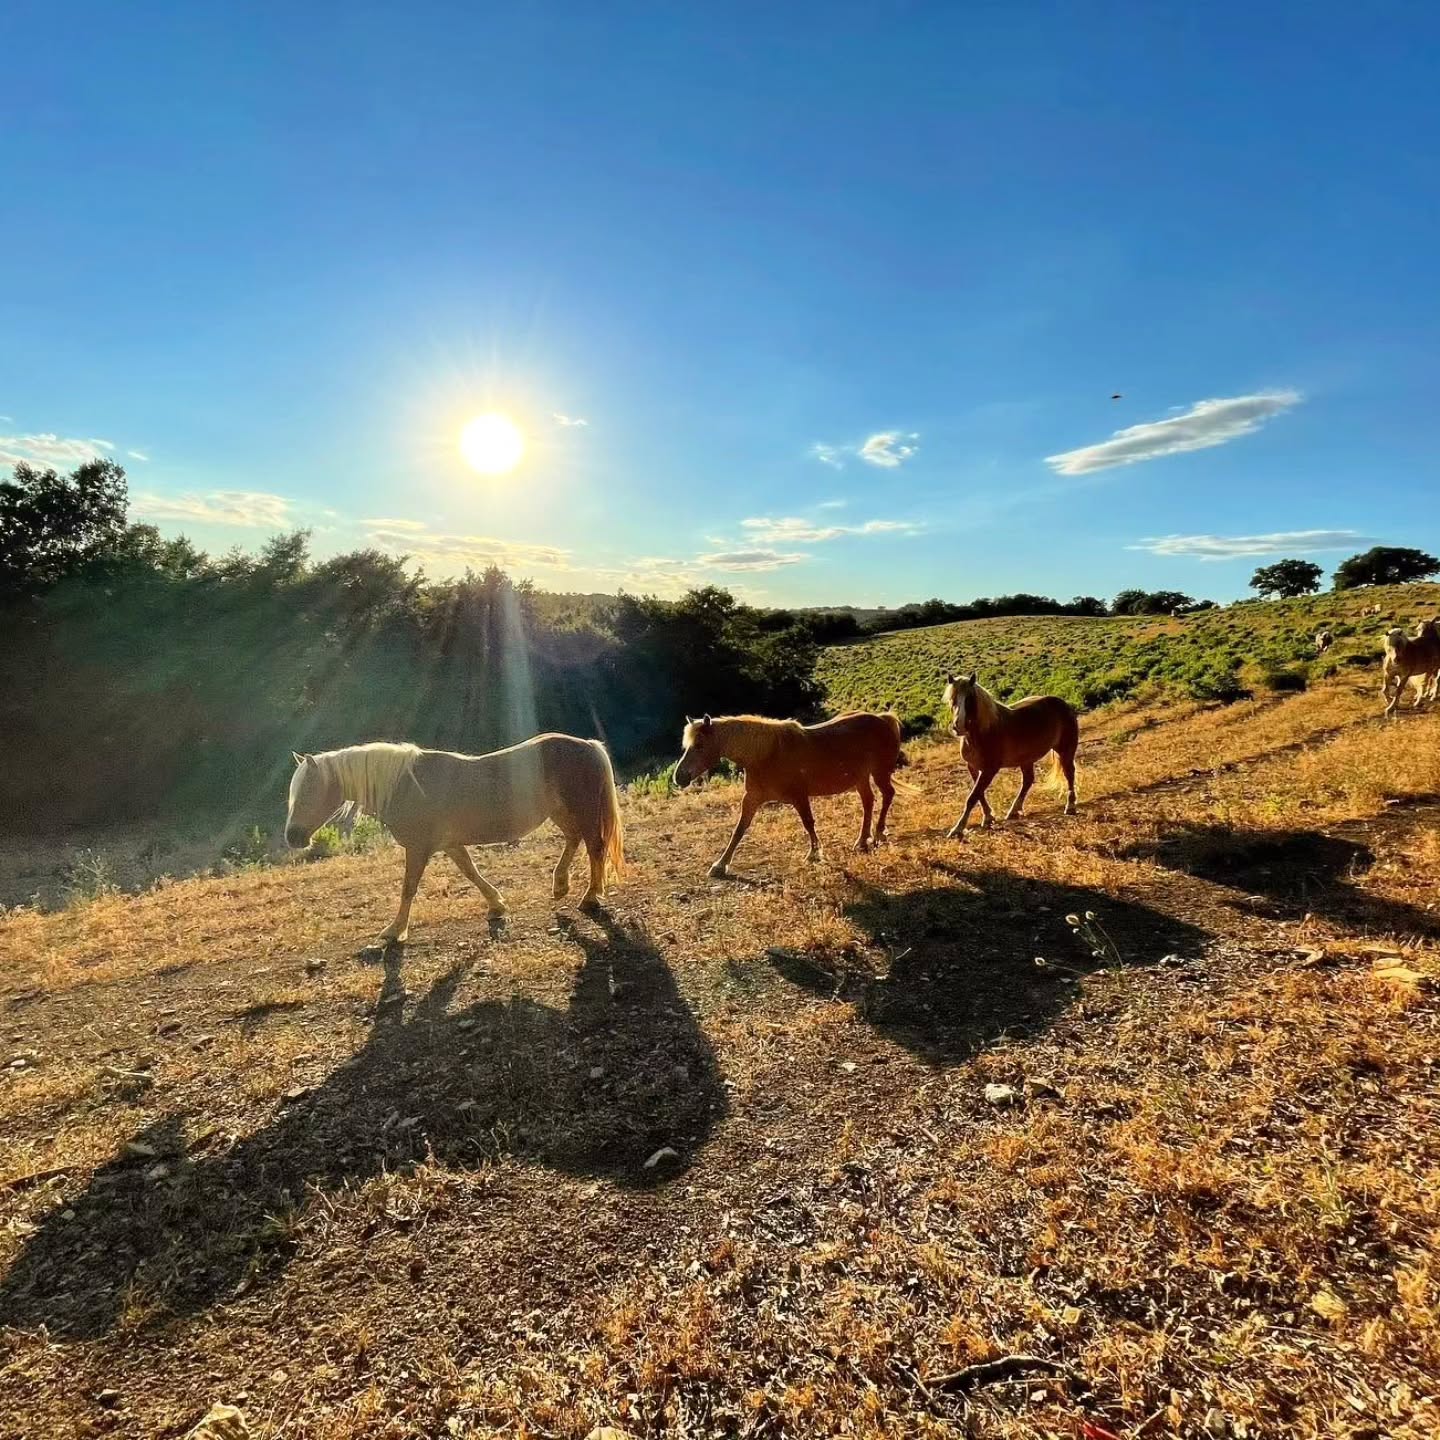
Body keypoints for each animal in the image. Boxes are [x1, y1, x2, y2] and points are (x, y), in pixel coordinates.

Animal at [285, 736, 624, 944]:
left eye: (308, 791)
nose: (292, 837)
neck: (405, 785)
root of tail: (589, 745)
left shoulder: (418, 849)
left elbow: (408, 888)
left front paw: (395, 930)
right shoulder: (449, 845)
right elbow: (471, 872)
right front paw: (496, 905)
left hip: (582, 810)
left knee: (594, 848)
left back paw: (590, 897)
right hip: (562, 812)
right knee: (574, 839)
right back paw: (560, 886)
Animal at [672, 712, 905, 878]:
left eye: (700, 745)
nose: (679, 777)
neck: (766, 754)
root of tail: (884, 719)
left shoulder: (799, 796)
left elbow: (808, 823)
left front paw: (814, 854)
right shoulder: (752, 799)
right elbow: (739, 830)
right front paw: (720, 865)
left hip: (879, 773)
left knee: (888, 795)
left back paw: (879, 834)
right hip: (861, 779)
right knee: (869, 802)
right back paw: (862, 840)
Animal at [942, 672, 1079, 839]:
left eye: (969, 699)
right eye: (952, 699)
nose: (958, 726)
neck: (983, 732)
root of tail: (1063, 704)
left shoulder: (989, 770)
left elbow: (973, 797)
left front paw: (957, 828)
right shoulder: (973, 767)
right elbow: (979, 794)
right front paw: (988, 817)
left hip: (1065, 750)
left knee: (1069, 774)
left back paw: (1070, 806)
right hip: (1026, 759)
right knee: (1028, 781)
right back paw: (1013, 811)